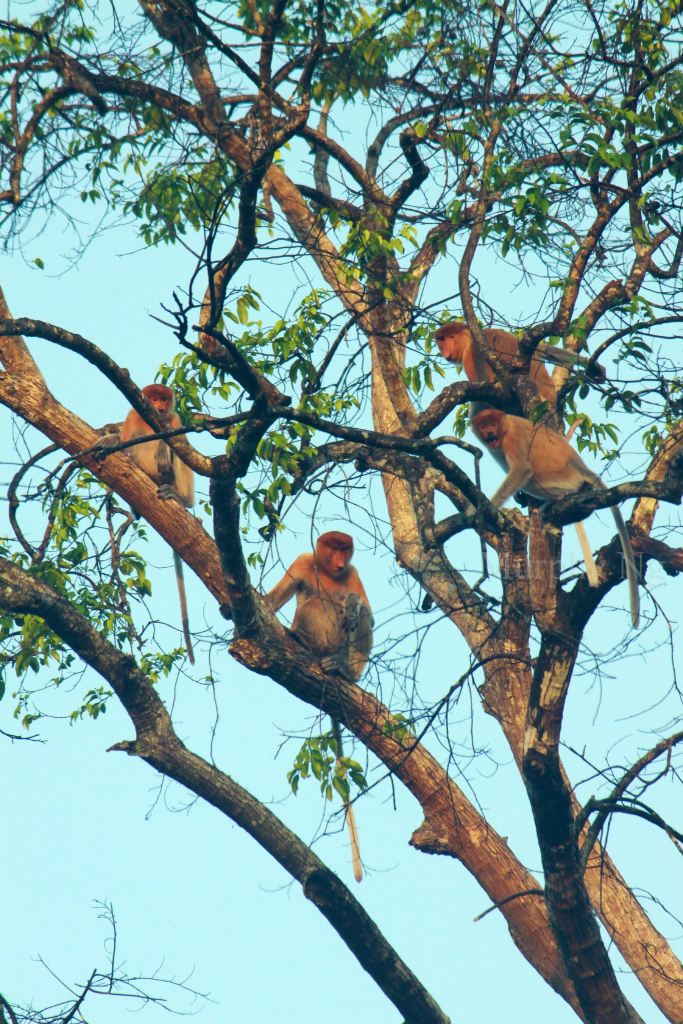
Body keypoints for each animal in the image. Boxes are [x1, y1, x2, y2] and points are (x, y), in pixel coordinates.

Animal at [119, 384, 196, 664]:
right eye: (153, 398)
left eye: (164, 399)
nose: (159, 407)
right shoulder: (131, 416)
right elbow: (122, 445)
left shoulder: (175, 419)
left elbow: (177, 442)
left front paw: (163, 447)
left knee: (183, 455)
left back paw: (182, 500)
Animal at [265, 531, 373, 882]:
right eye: (334, 547)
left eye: (345, 550)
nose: (339, 560)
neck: (329, 572)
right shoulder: (303, 562)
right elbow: (275, 599)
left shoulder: (352, 573)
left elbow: (365, 609)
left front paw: (351, 605)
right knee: (312, 602)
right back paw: (300, 640)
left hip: (346, 650)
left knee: (360, 620)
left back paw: (344, 671)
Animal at [471, 408, 640, 627]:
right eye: (483, 426)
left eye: (492, 423)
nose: (489, 432)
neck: (505, 425)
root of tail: (582, 468)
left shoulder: (512, 440)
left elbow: (522, 470)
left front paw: (482, 510)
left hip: (559, 477)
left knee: (533, 478)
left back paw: (559, 499)